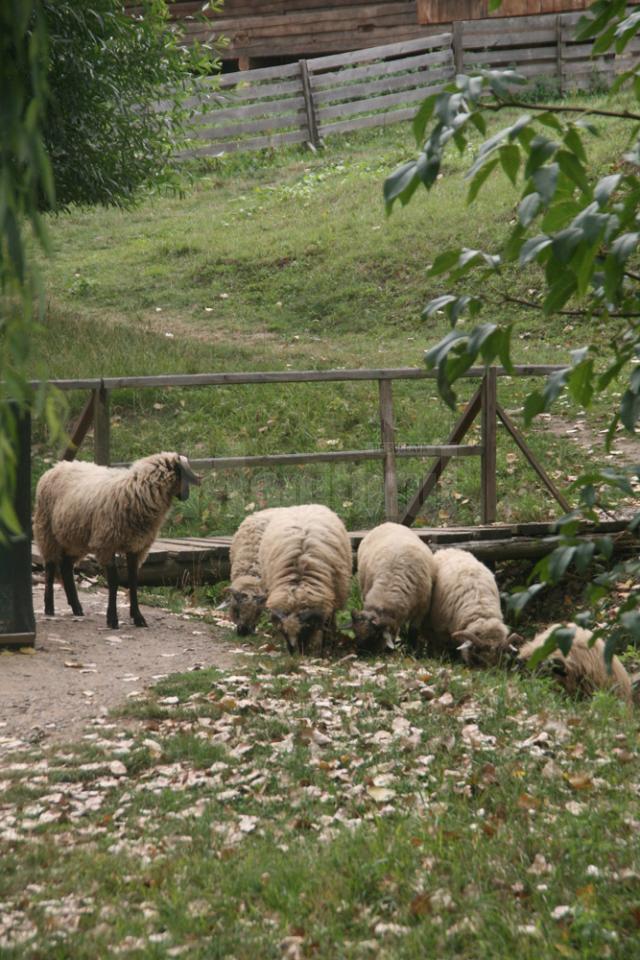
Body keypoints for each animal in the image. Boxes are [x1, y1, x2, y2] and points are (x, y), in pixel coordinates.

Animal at [32, 450, 201, 632]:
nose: (187, 495)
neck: (137, 491)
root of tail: (57, 466)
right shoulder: (107, 544)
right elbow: (113, 582)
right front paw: (112, 619)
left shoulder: (136, 547)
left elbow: (133, 582)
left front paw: (138, 617)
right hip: (46, 530)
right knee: (50, 567)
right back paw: (49, 607)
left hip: (75, 537)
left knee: (65, 566)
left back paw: (76, 607)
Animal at [258, 506, 352, 656]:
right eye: (283, 631)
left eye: (305, 630)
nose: (295, 653)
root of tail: (303, 506)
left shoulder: (330, 600)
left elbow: (327, 625)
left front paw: (325, 650)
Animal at [350, 520, 436, 656]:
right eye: (355, 632)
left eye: (375, 636)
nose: (364, 655)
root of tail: (388, 523)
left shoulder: (422, 609)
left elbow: (413, 631)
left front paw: (411, 651)